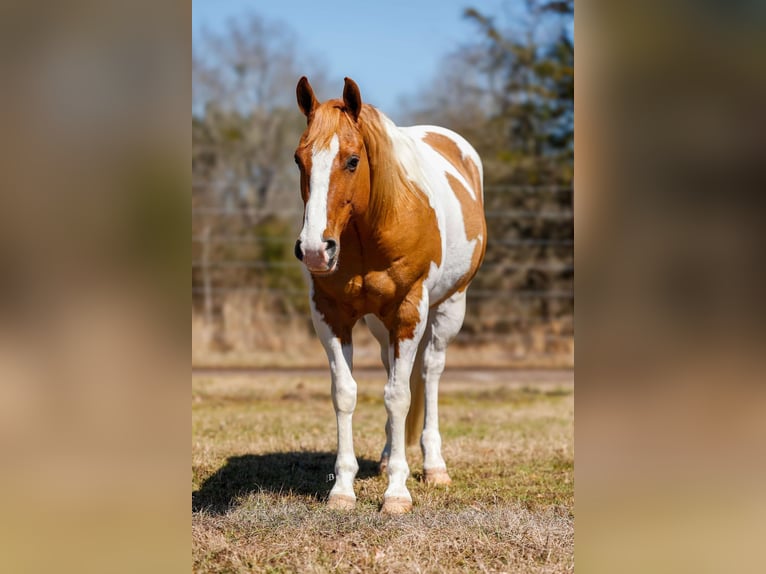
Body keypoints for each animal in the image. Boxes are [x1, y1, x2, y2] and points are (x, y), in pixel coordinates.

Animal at [294, 74, 486, 516]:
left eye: (352, 160)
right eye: (299, 159)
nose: (314, 249)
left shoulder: (408, 311)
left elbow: (399, 396)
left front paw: (397, 492)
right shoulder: (331, 315)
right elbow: (345, 393)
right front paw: (343, 489)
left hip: (449, 309)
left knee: (430, 374)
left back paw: (433, 466)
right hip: (381, 327)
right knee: (389, 368)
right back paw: (384, 458)